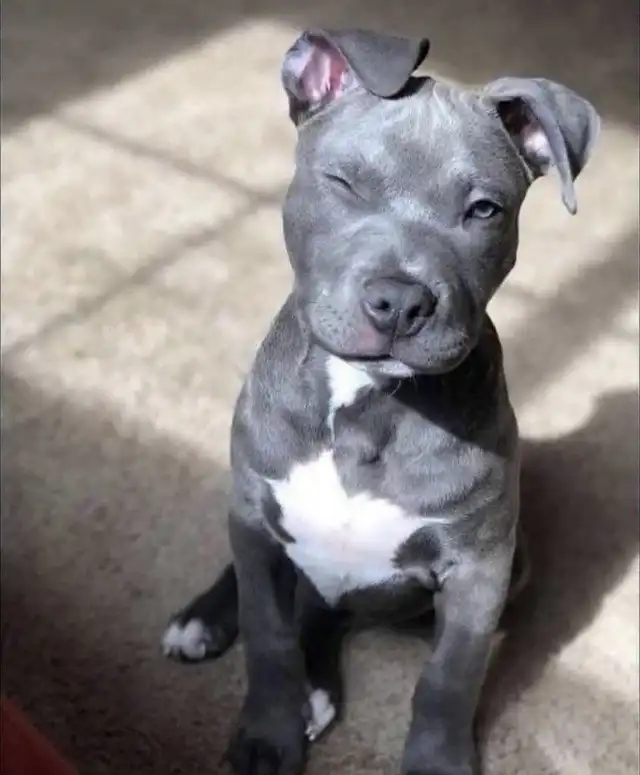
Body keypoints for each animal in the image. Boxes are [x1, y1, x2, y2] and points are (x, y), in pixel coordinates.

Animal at [161, 29, 599, 775]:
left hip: (513, 563)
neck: (366, 404)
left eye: (484, 210)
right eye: (343, 183)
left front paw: (436, 761)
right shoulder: (258, 513)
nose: (399, 301)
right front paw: (267, 735)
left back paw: (313, 688)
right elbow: (267, 636)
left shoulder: (480, 571)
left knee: (328, 610)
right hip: (252, 514)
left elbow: (449, 679)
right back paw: (206, 620)